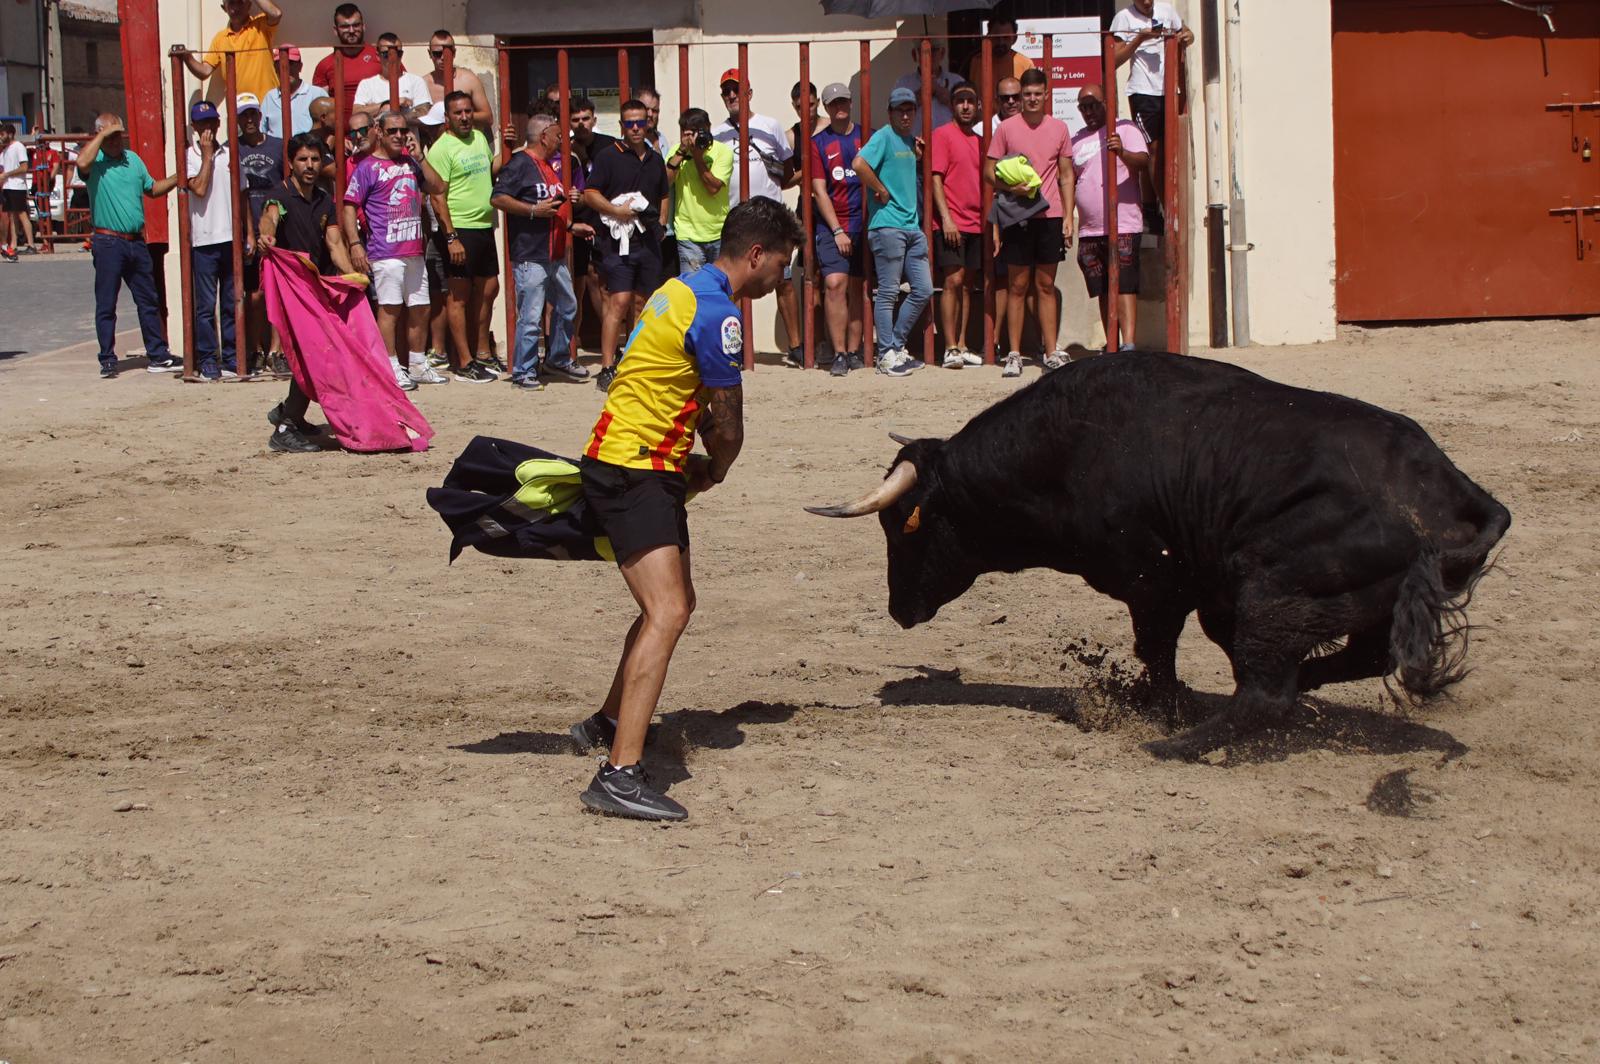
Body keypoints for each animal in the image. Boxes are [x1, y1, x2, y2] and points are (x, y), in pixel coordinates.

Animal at [812, 352, 1510, 758]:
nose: (899, 610)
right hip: (1351, 603)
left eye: (901, 525)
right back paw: (1290, 694)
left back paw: (1178, 746)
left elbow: (1157, 650)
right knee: (1350, 661)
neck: (1064, 449)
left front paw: (1162, 712)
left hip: (1275, 592)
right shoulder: (1199, 592)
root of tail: (1456, 496)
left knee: (1268, 694)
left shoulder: (1154, 584)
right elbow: (1191, 646)